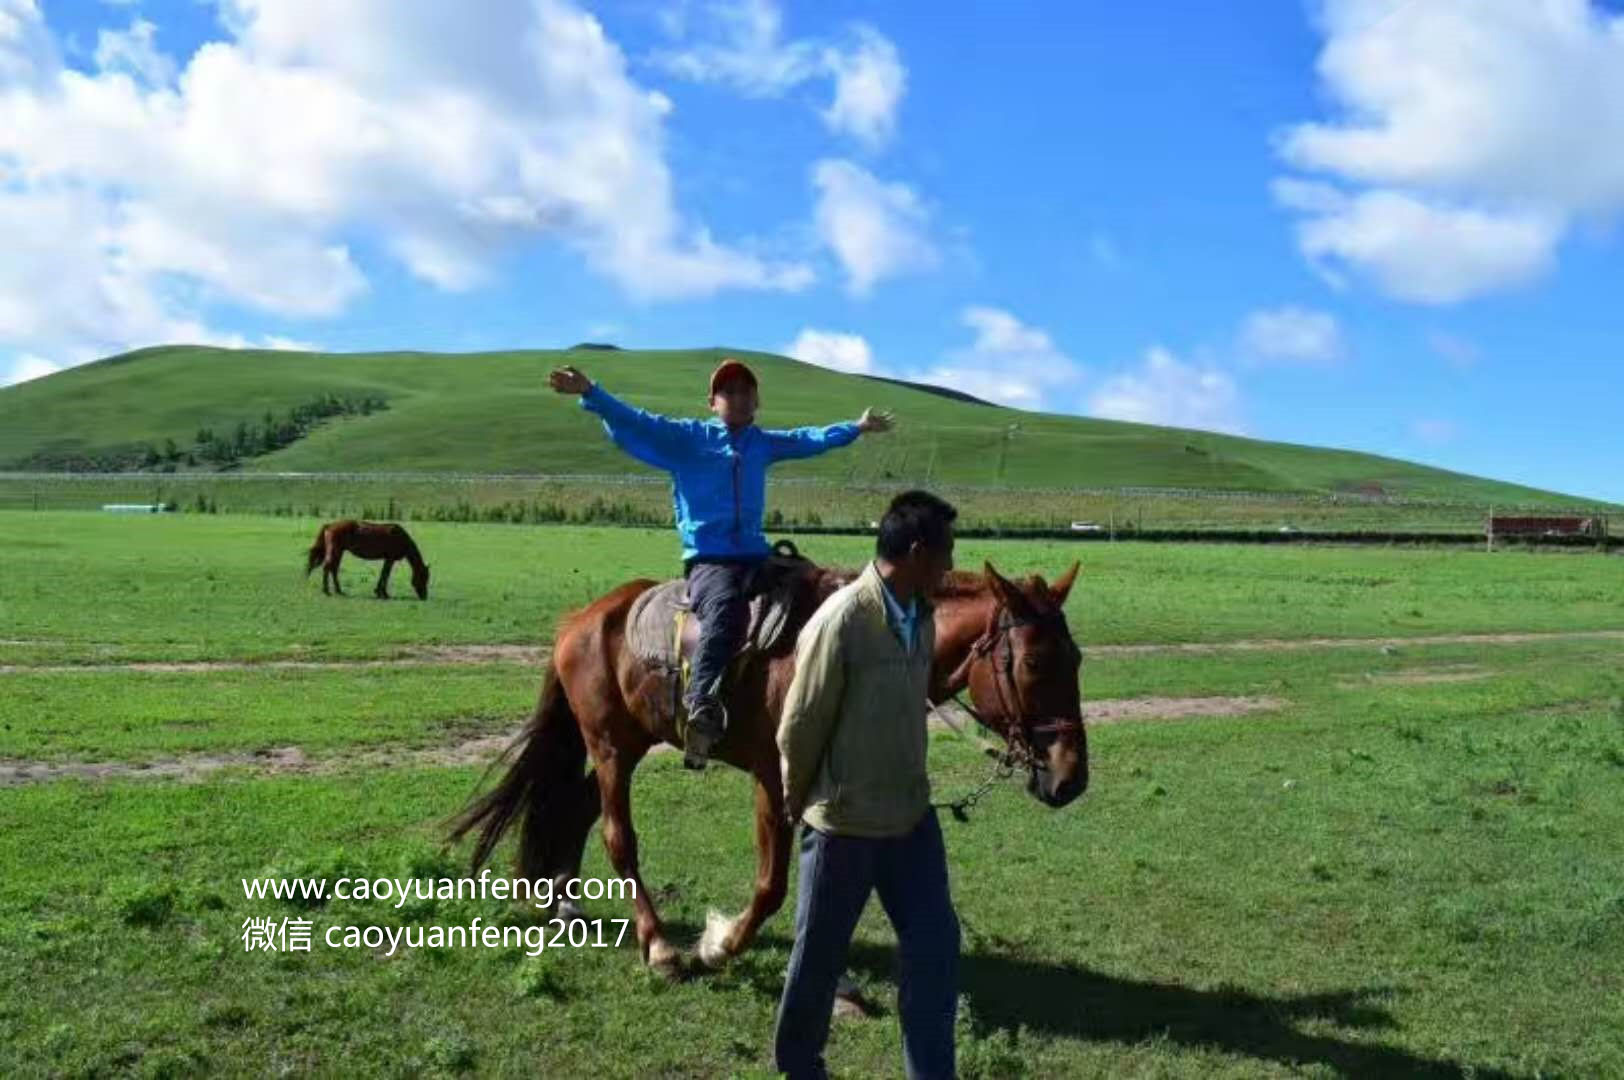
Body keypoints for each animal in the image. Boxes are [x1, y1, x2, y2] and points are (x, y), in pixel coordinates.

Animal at [451, 558, 1084, 974]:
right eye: (1032, 661)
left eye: (1076, 657)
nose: (1070, 776)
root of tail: (582, 619)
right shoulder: (773, 778)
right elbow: (772, 884)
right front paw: (720, 944)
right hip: (608, 747)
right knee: (616, 835)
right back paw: (658, 945)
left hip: (628, 744)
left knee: (574, 807)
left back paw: (563, 900)